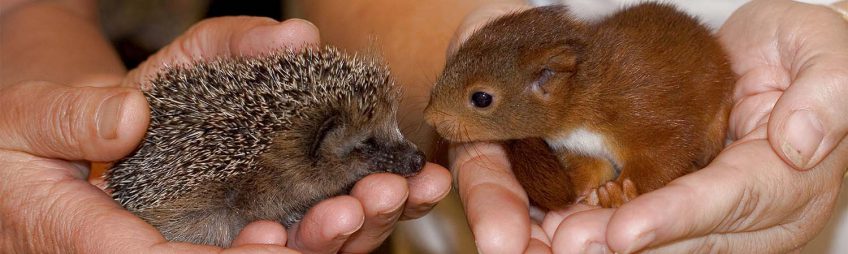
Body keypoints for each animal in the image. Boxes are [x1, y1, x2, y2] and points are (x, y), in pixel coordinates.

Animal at [424, 2, 736, 209]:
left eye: (481, 98)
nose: (430, 118)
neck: (580, 99)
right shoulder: (581, 149)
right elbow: (592, 169)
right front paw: (585, 189)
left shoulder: (641, 110)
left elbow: (668, 149)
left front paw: (620, 191)